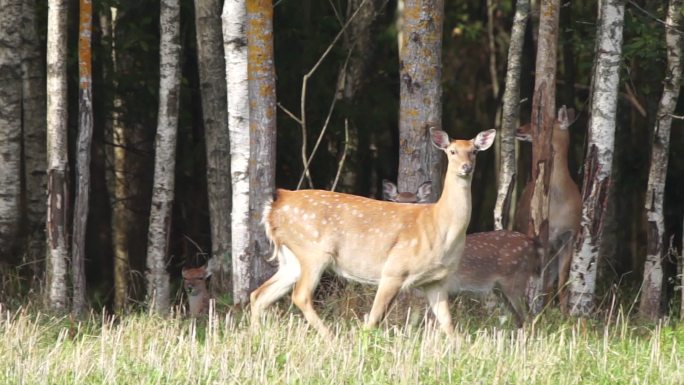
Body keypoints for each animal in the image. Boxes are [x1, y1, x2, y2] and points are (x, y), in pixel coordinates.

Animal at [248, 127, 494, 334]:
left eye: (474, 152)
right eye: (452, 151)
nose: (466, 167)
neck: (441, 226)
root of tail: (275, 204)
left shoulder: (436, 281)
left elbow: (449, 326)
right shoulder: (394, 269)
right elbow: (374, 318)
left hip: (291, 257)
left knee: (259, 294)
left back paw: (257, 335)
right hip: (313, 250)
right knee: (300, 296)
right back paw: (332, 339)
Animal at [384, 180, 540, 324]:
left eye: (415, 202)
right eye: (395, 201)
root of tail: (532, 243)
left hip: (515, 279)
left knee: (527, 316)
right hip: (500, 287)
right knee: (519, 318)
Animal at [516, 106, 580, 304]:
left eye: (547, 123)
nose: (519, 129)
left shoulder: (569, 235)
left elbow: (561, 284)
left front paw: (563, 310)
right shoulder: (545, 237)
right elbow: (544, 283)